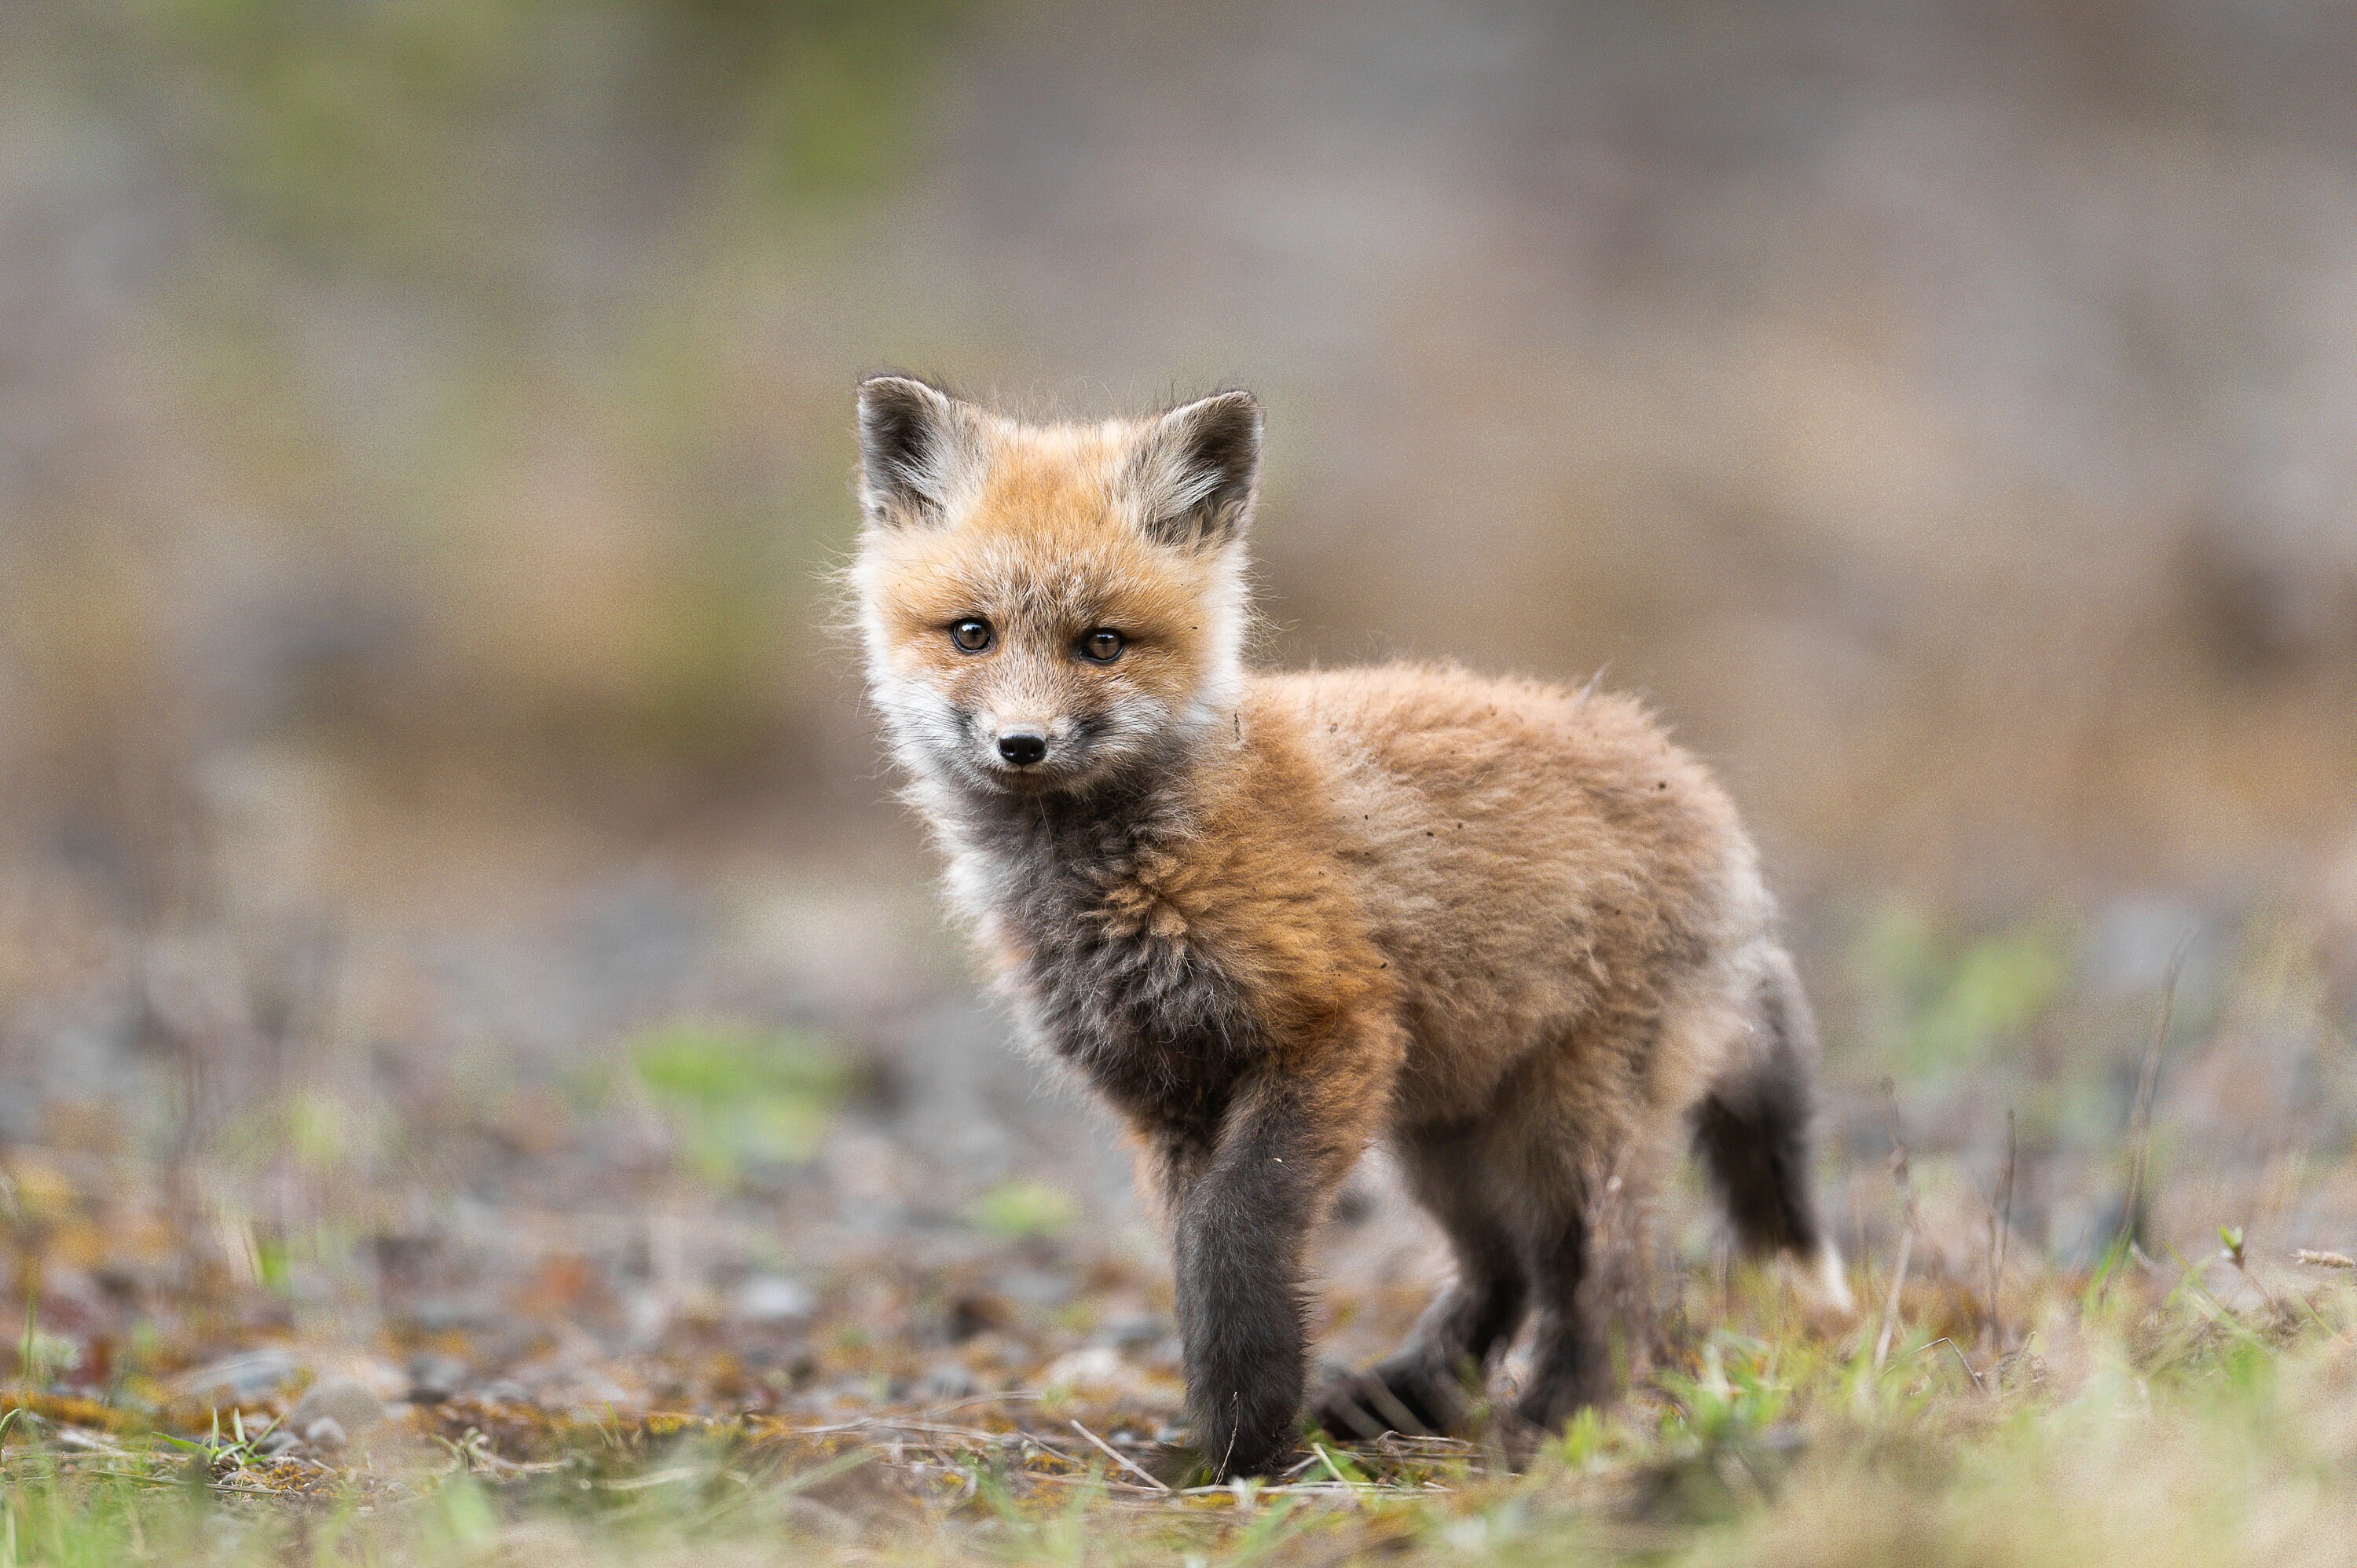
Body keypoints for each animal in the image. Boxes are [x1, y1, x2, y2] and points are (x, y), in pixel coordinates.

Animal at [849, 376, 1854, 1478]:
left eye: (1102, 643)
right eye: (971, 633)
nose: (1021, 744)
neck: (1134, 867)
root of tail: (1705, 794)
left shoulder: (1331, 1029)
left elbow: (1239, 1234)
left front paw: (1248, 1433)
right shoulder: (1165, 1097)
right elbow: (1193, 1259)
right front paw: (1226, 1431)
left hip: (1560, 1126)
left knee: (1609, 1280)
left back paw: (1556, 1419)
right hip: (1445, 1132)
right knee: (1503, 1272)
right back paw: (1408, 1395)